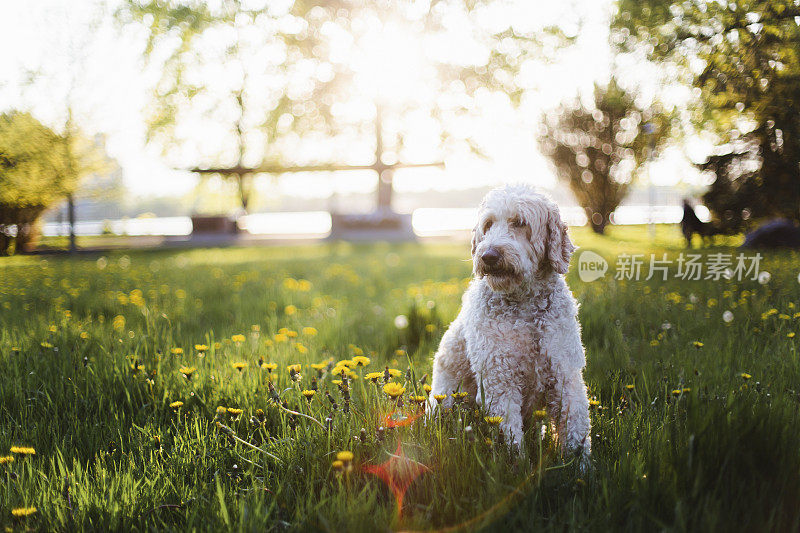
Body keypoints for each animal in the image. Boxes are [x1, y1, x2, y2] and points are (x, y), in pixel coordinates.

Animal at [428, 185, 592, 460]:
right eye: (488, 224)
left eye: (520, 223)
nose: (488, 255)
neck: (525, 308)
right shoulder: (498, 378)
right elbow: (510, 437)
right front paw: (518, 464)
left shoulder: (565, 374)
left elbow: (575, 427)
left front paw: (580, 465)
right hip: (444, 400)